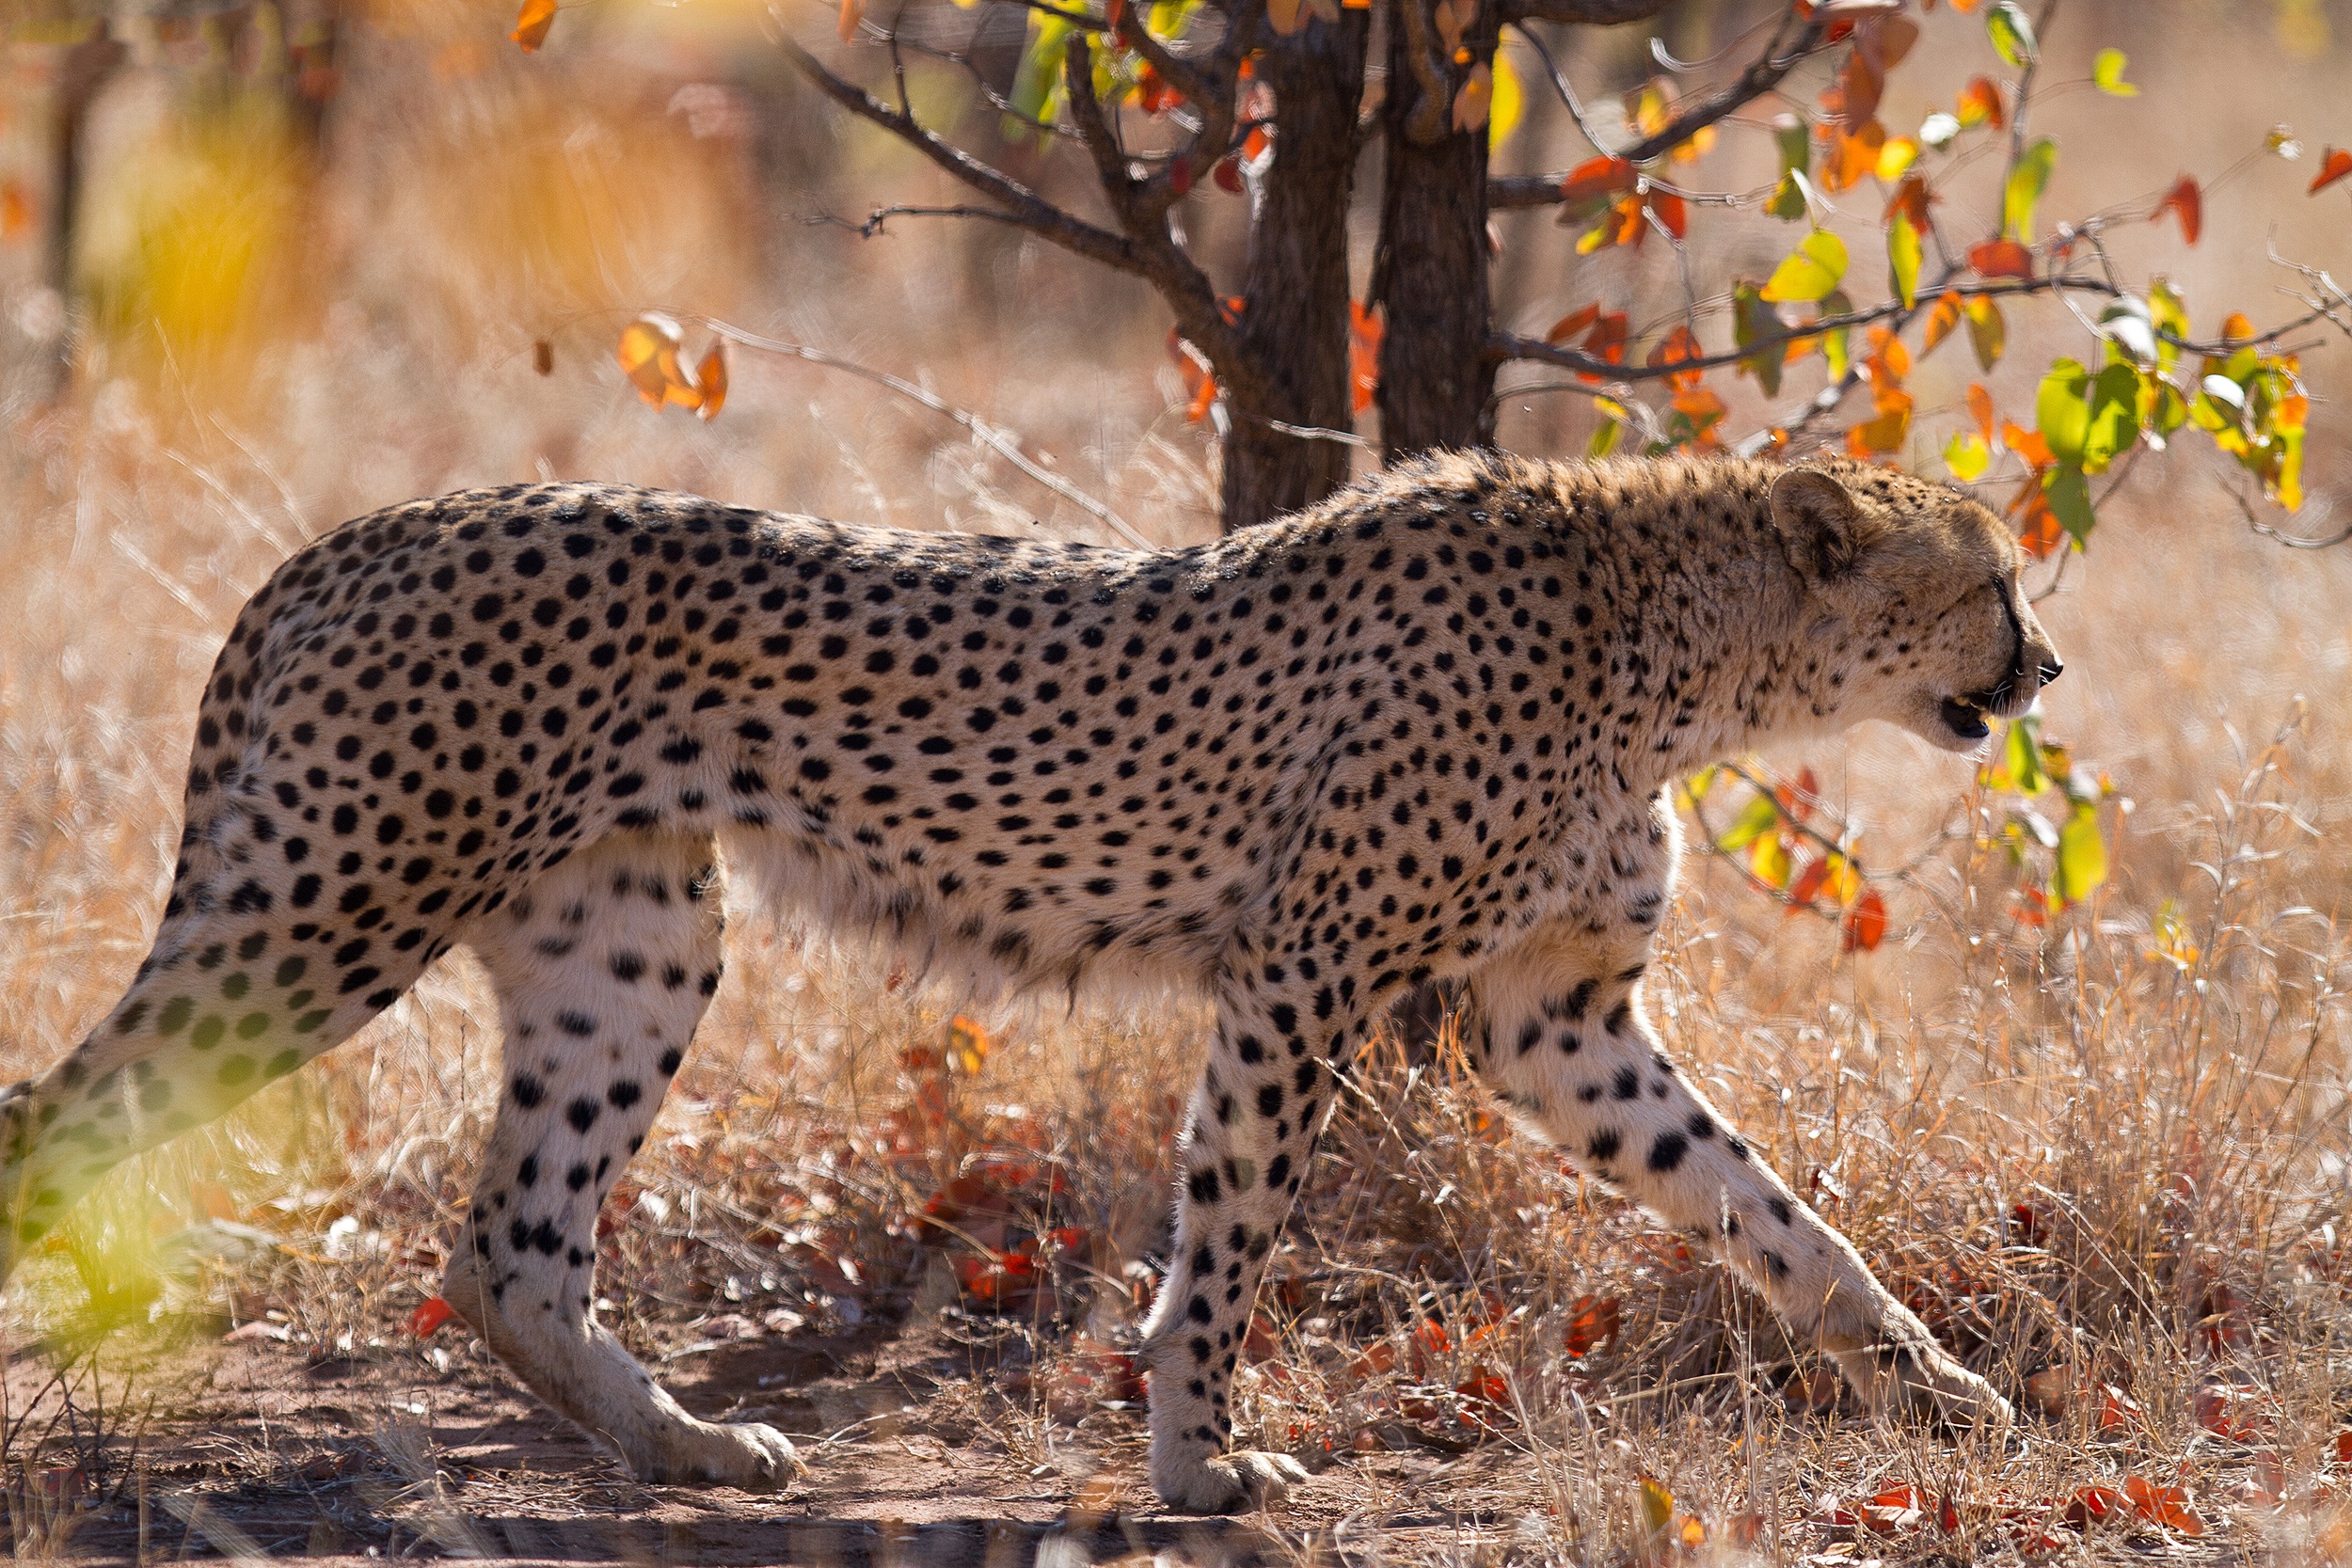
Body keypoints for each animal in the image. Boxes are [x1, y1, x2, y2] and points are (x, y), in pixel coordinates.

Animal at [4, 446, 2060, 1513]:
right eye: (1987, 582)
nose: (2042, 669)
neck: (1669, 646)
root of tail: (372, 524)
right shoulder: (1303, 970)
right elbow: (1228, 1233)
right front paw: (1199, 1462)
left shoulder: (1555, 1021)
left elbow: (1768, 1204)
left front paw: (1942, 1379)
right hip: (329, 911)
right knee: (53, 1120)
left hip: (629, 941)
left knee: (510, 1244)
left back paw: (689, 1441)